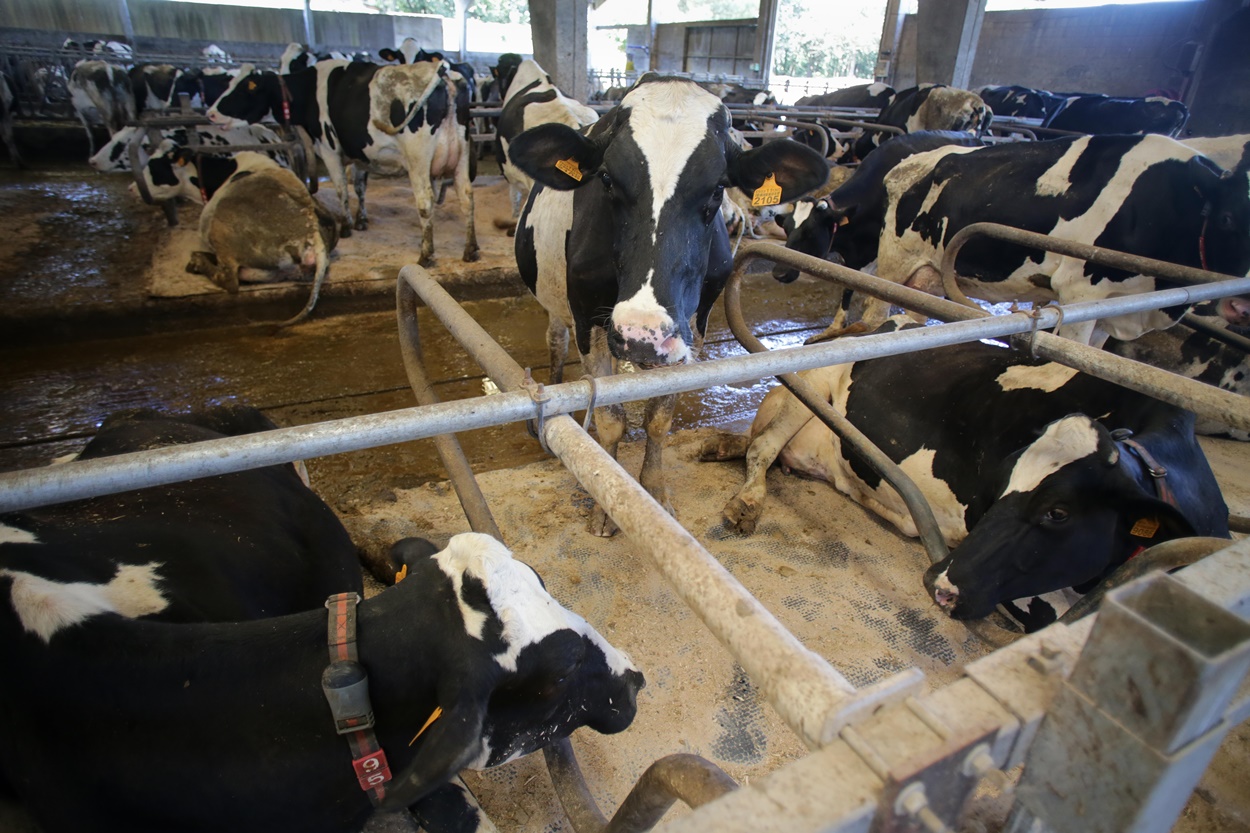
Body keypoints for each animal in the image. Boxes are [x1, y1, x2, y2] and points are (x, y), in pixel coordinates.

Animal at [210, 59, 477, 261]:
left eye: (246, 87)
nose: (211, 113)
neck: (310, 89)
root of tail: (443, 72)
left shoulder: (329, 147)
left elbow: (341, 190)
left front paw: (348, 226)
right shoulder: (360, 153)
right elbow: (359, 186)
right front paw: (361, 221)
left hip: (418, 157)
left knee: (425, 202)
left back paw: (426, 254)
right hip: (462, 152)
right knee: (466, 197)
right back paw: (470, 250)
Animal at [507, 76, 830, 532]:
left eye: (717, 188)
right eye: (606, 179)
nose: (639, 334)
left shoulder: (691, 325)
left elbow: (659, 418)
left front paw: (654, 491)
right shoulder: (588, 315)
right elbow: (610, 418)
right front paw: (608, 502)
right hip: (556, 298)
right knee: (556, 338)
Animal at [705, 318, 1230, 630]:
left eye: (1058, 513)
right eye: (1003, 483)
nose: (940, 583)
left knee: (757, 442)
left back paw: (720, 445)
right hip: (808, 384)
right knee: (764, 446)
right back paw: (745, 503)